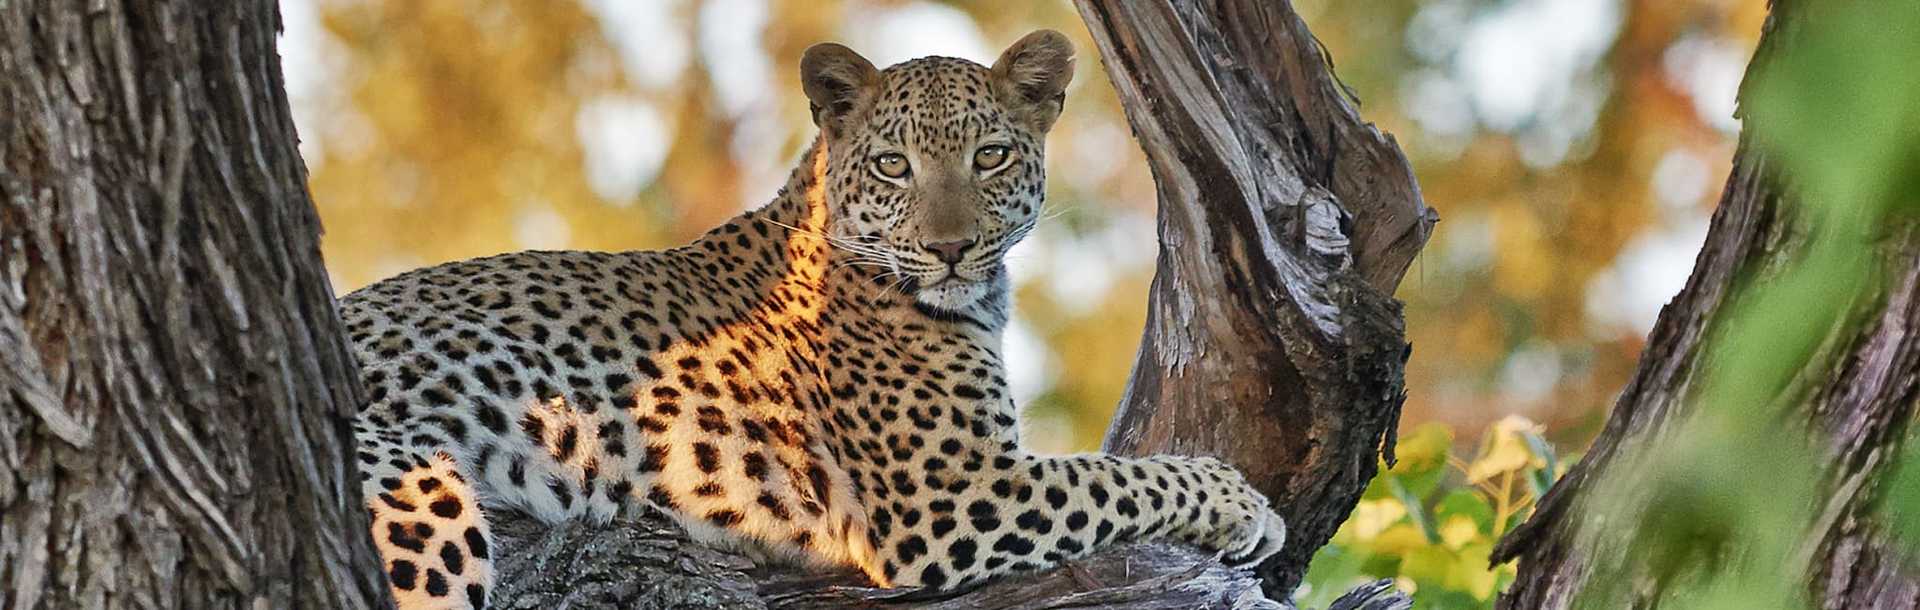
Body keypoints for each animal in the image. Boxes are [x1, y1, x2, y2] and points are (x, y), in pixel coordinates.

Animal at [341, 32, 1290, 610]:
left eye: (990, 157)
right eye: (894, 166)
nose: (950, 249)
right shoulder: (955, 495)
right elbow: (1123, 478)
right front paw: (1242, 503)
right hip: (416, 495)